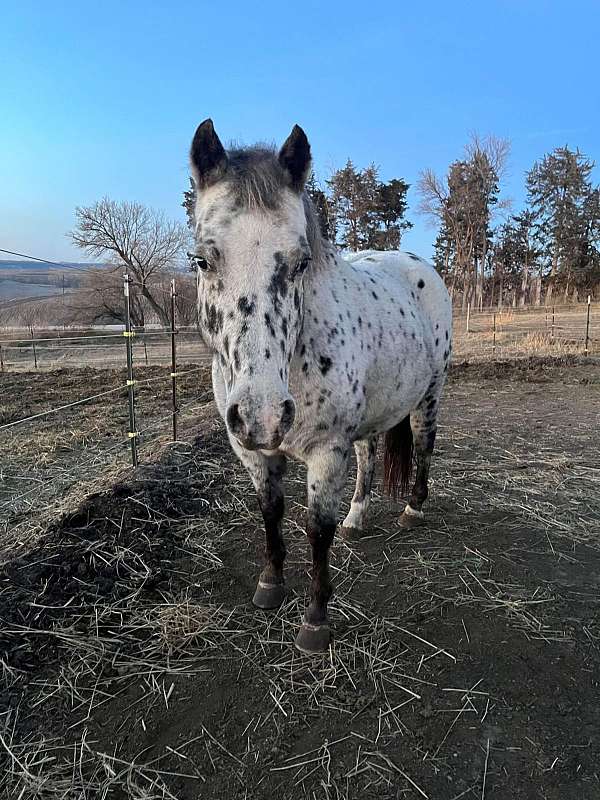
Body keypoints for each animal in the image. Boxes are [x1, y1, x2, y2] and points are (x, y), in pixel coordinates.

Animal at [190, 120, 452, 656]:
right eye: (202, 261)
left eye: (300, 263)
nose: (264, 416)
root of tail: (416, 264)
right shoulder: (253, 453)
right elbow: (271, 514)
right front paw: (270, 586)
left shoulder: (327, 452)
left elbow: (316, 532)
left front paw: (315, 621)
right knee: (370, 457)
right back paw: (358, 517)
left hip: (429, 395)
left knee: (424, 447)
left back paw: (412, 510)